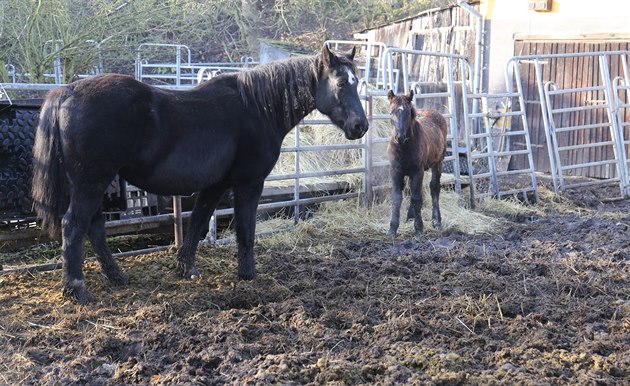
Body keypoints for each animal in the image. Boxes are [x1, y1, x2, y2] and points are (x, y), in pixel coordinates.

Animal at [33, 45, 370, 304]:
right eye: (341, 84)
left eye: (357, 83)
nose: (360, 126)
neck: (258, 107)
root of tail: (68, 91)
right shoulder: (248, 184)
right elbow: (245, 230)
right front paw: (247, 275)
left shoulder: (215, 186)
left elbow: (196, 224)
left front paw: (186, 269)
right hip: (91, 184)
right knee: (74, 226)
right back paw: (76, 289)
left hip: (96, 185)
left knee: (95, 228)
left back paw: (116, 276)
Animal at [388, 89, 446, 238]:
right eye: (391, 112)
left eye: (408, 113)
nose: (399, 137)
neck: (403, 148)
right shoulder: (395, 171)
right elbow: (397, 198)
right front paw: (392, 229)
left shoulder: (417, 171)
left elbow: (416, 198)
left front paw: (419, 229)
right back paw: (410, 217)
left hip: (438, 161)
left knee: (434, 187)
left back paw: (436, 221)